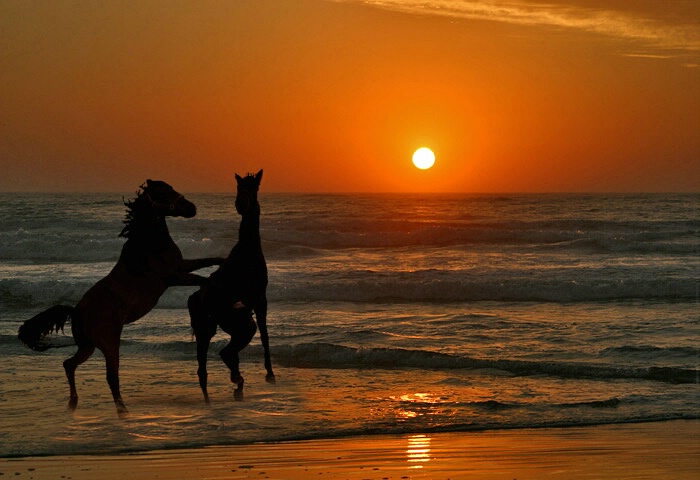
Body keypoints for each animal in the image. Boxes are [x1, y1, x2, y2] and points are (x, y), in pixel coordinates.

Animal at [16, 181, 223, 416]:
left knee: (69, 364)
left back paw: (73, 404)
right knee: (111, 377)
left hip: (87, 347)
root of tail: (76, 312)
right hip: (109, 344)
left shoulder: (182, 266)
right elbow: (205, 280)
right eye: (164, 192)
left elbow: (211, 260)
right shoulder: (173, 277)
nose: (192, 208)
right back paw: (122, 412)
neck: (146, 245)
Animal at [187, 169, 274, 402]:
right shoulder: (259, 298)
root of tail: (194, 298)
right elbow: (265, 335)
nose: (240, 204)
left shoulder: (254, 303)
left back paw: (236, 381)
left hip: (230, 326)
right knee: (208, 366)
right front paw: (270, 373)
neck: (247, 251)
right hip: (210, 329)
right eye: (238, 186)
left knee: (221, 357)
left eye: (253, 187)